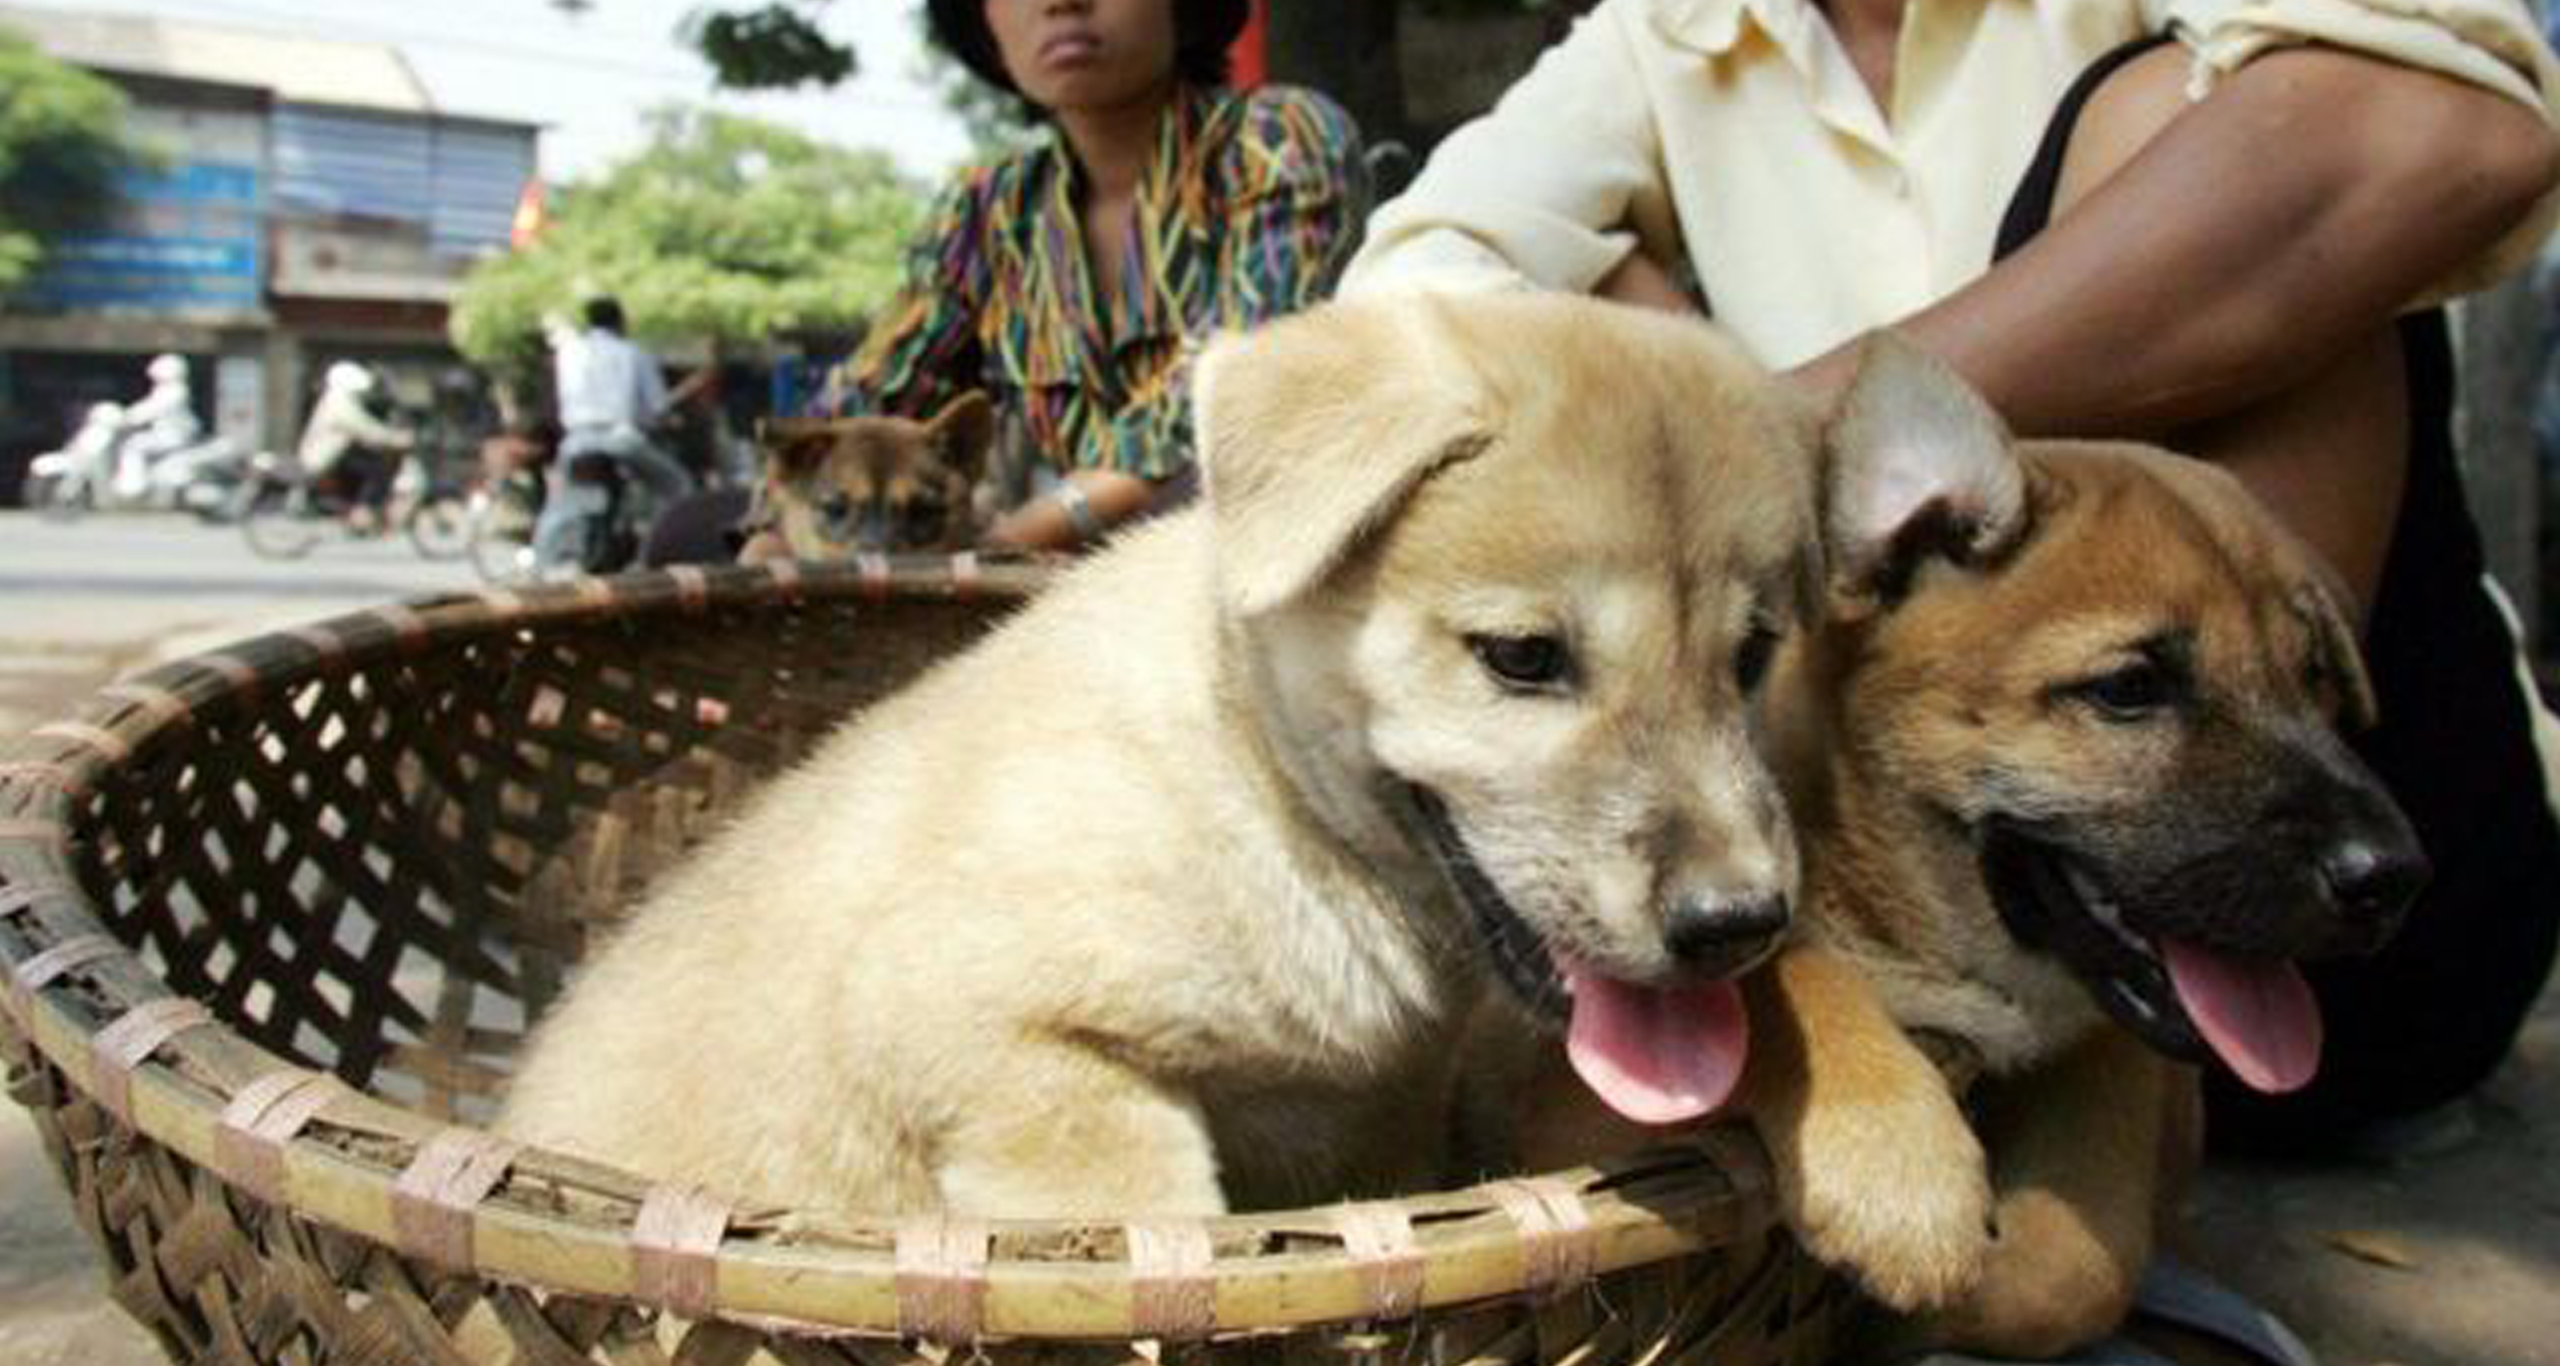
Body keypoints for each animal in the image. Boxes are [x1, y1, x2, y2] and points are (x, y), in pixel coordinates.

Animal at [1495, 350, 2416, 1360]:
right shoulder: (1571, 1112)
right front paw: (1899, 1172)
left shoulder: (2105, 1039)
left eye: (2315, 677)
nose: (2392, 877)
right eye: (2129, 688)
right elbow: (1780, 977)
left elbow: (2077, 1266)